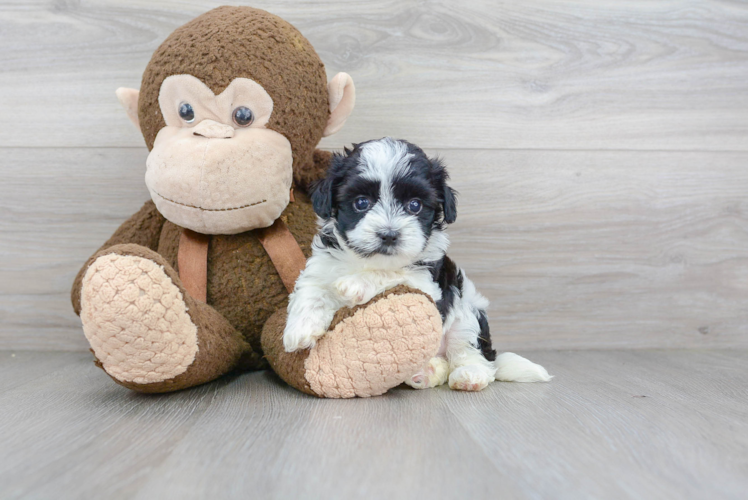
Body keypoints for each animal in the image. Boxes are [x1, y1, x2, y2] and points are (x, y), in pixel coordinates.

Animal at [280, 137, 548, 390]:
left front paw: (354, 284)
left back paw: (470, 375)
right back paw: (425, 373)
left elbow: (392, 273)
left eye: (415, 205)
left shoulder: (427, 282)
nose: (389, 235)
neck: (366, 260)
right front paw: (299, 330)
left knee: (471, 352)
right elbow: (311, 290)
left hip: (467, 313)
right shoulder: (322, 265)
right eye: (361, 203)